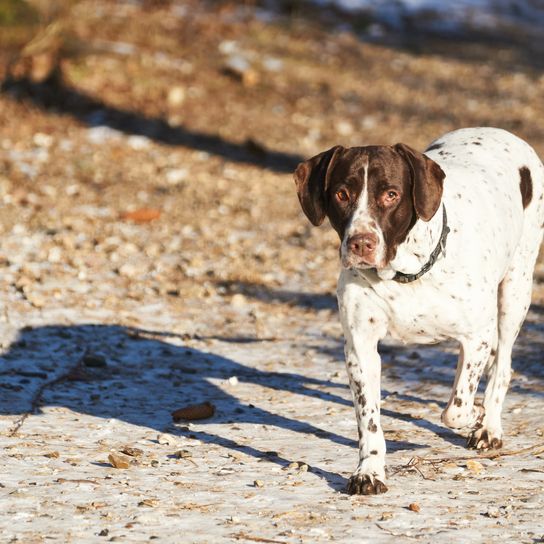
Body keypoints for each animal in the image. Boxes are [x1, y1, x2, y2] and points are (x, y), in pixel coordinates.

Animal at [294, 126, 544, 492]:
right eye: (341, 194)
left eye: (391, 194)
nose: (361, 243)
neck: (405, 273)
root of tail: (497, 131)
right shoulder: (360, 348)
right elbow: (369, 420)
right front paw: (369, 471)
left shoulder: (478, 336)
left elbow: (455, 409)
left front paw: (477, 416)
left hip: (515, 291)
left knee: (503, 366)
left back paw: (489, 426)